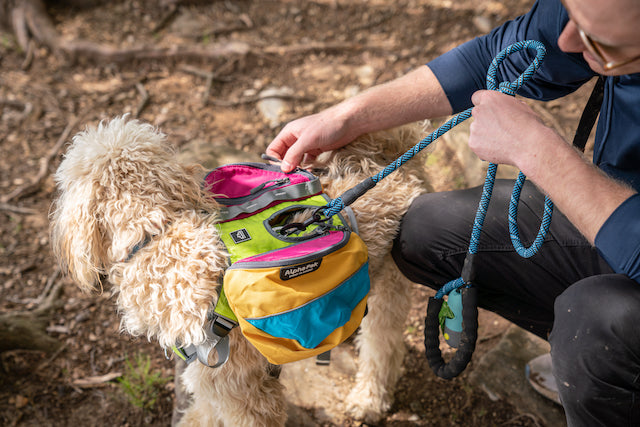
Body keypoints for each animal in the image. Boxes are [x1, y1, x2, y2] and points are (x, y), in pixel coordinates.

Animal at [51, 115, 430, 426]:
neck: (156, 234)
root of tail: (393, 152)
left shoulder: (242, 388)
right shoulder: (210, 376)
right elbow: (205, 414)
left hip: (392, 280)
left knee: (384, 344)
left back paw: (369, 400)